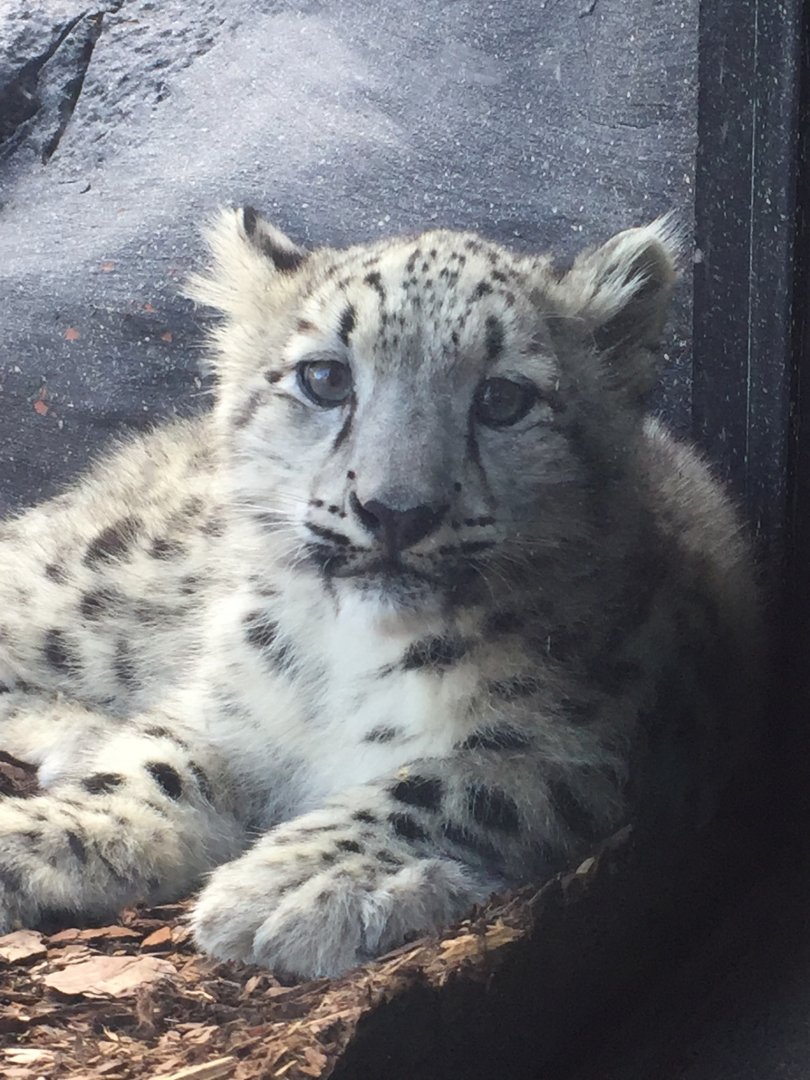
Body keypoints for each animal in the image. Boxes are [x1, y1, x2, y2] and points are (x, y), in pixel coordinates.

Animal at [0, 207, 761, 979]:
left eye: (504, 398)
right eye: (326, 377)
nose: (395, 510)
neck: (353, 662)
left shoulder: (606, 746)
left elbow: (459, 783)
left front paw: (293, 884)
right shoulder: (227, 709)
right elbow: (155, 767)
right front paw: (33, 837)